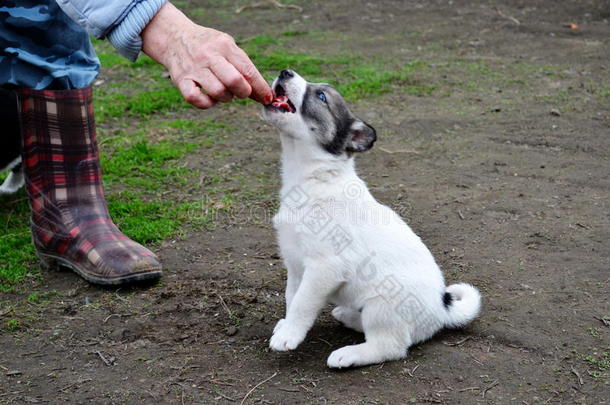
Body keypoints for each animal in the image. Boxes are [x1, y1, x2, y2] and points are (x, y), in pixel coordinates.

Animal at [262, 71, 480, 368]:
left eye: (321, 96)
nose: (285, 72)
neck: (315, 179)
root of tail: (442, 309)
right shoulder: (296, 266)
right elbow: (291, 297)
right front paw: (286, 326)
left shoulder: (324, 267)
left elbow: (302, 303)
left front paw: (289, 336)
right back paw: (347, 316)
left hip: (382, 304)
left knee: (390, 346)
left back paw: (348, 354)